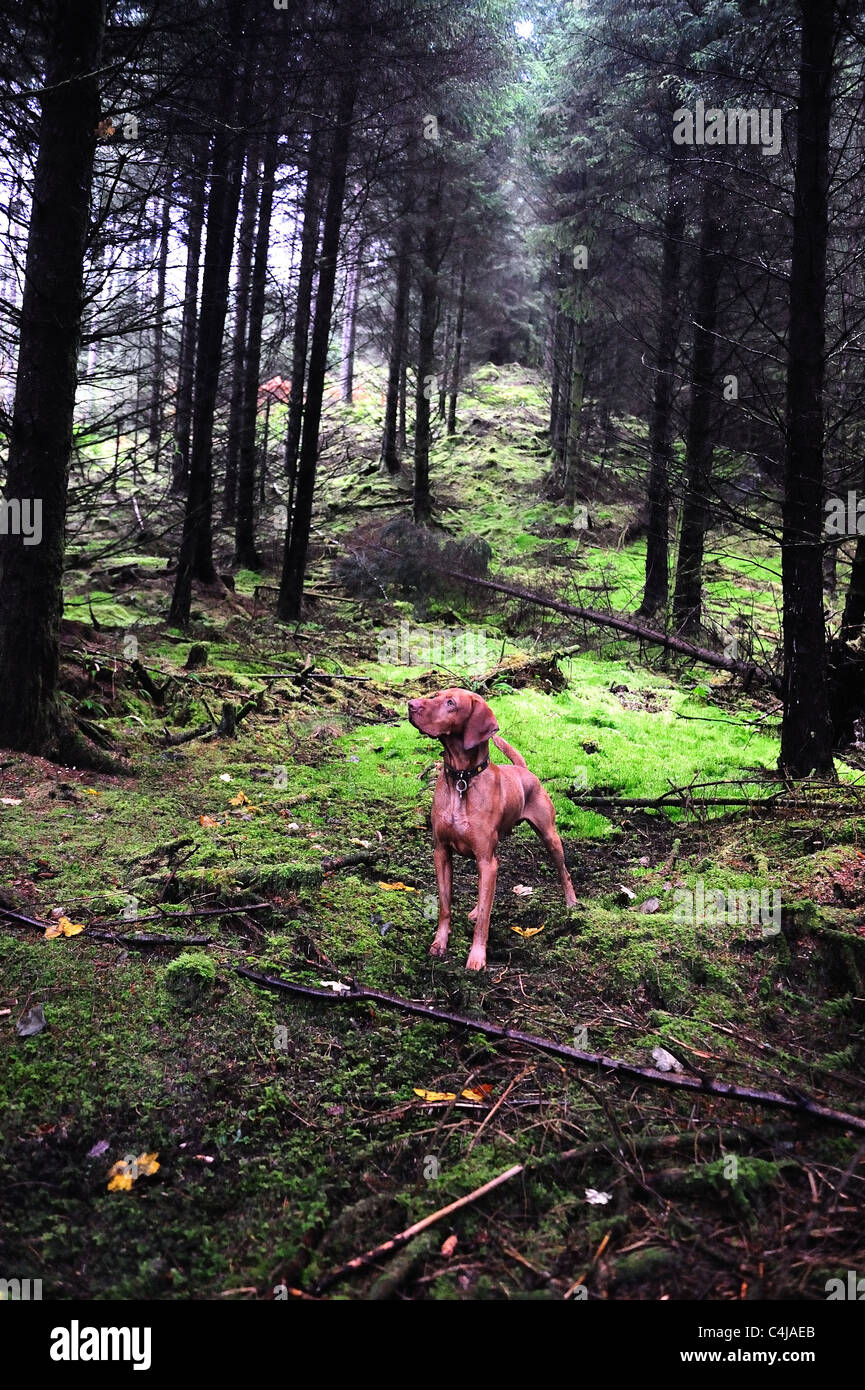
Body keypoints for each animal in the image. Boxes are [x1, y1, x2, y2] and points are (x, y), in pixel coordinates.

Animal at [408, 689, 578, 973]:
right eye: (436, 695)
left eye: (451, 703)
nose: (410, 705)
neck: (462, 779)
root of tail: (523, 770)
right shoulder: (442, 852)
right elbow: (445, 905)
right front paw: (440, 943)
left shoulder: (486, 860)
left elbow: (484, 922)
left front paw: (477, 958)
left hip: (549, 837)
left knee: (563, 872)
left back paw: (572, 903)